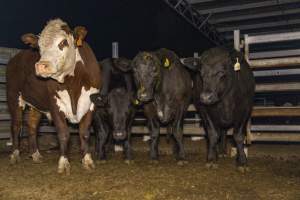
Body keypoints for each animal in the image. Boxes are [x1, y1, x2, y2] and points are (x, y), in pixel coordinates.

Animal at [6, 19, 101, 175]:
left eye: (63, 42)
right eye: (39, 46)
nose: (41, 65)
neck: (73, 84)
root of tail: (15, 58)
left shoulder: (91, 103)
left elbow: (85, 133)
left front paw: (87, 161)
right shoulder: (55, 103)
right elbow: (63, 133)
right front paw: (63, 163)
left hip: (35, 104)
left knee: (32, 125)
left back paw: (36, 155)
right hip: (13, 97)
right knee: (16, 125)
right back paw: (14, 155)